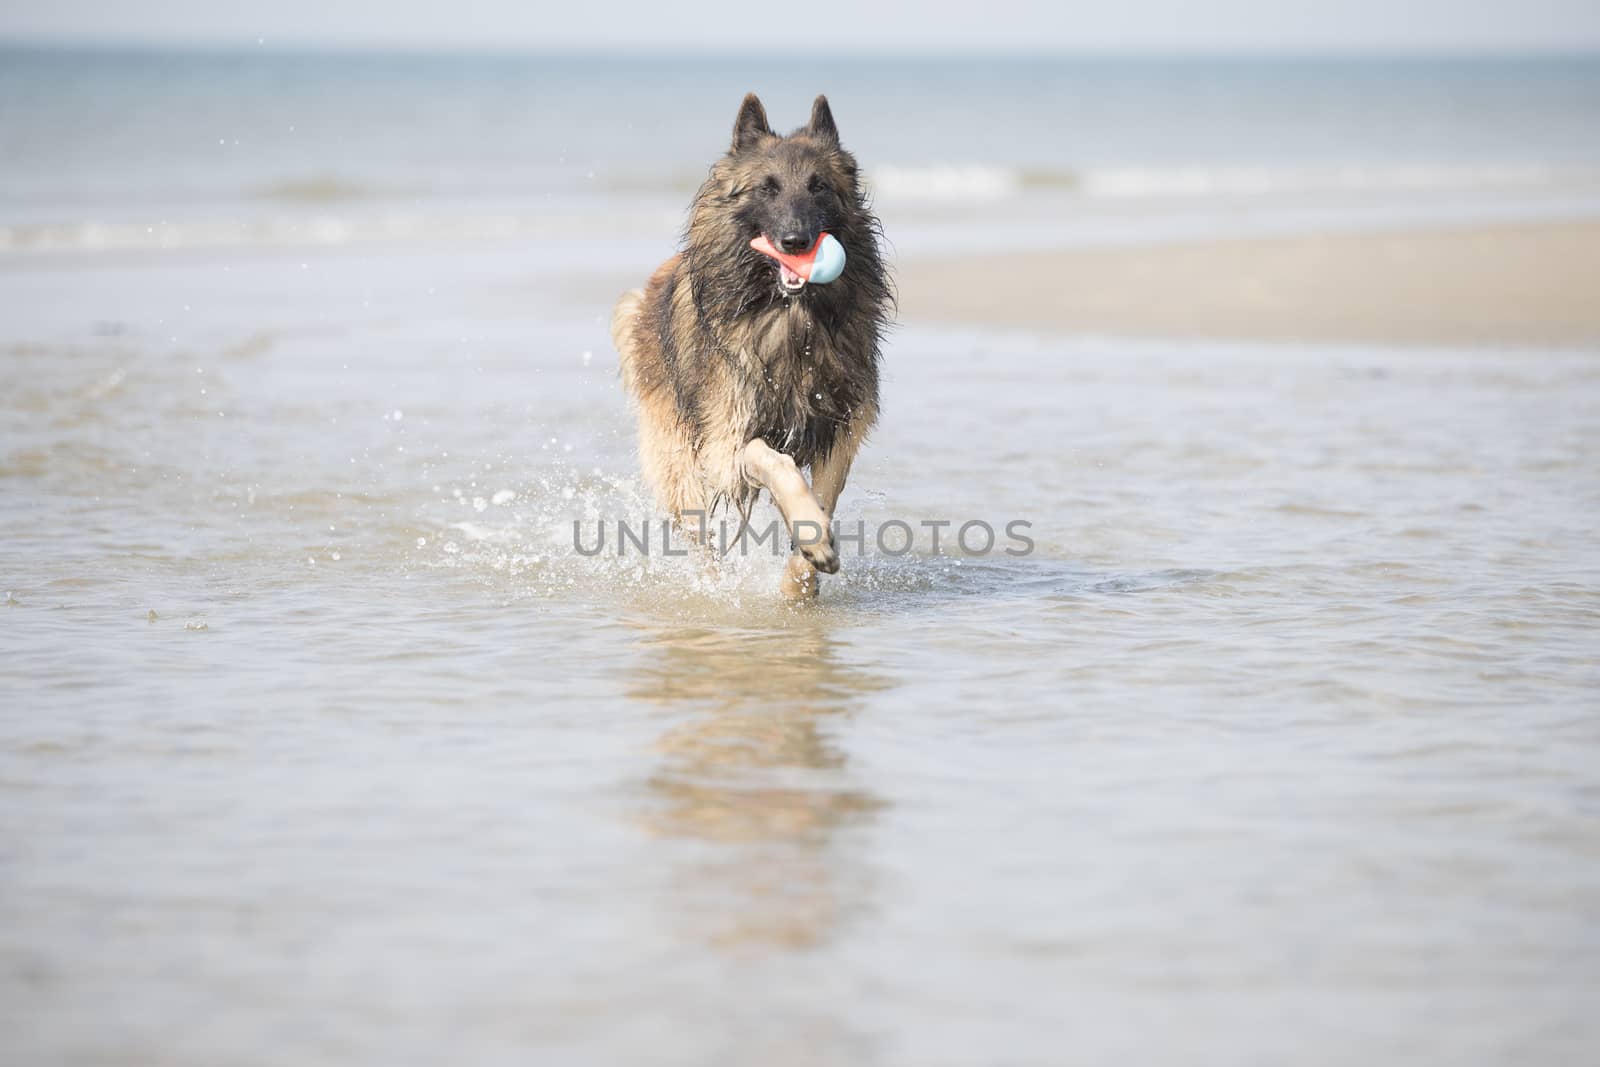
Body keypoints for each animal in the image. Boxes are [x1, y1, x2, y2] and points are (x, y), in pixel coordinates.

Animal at [608, 92, 896, 598]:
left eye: (819, 186)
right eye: (768, 188)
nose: (796, 241)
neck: (791, 321)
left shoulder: (840, 430)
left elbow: (823, 498)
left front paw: (801, 579)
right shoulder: (727, 442)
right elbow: (774, 460)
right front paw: (812, 542)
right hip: (680, 461)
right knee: (700, 540)